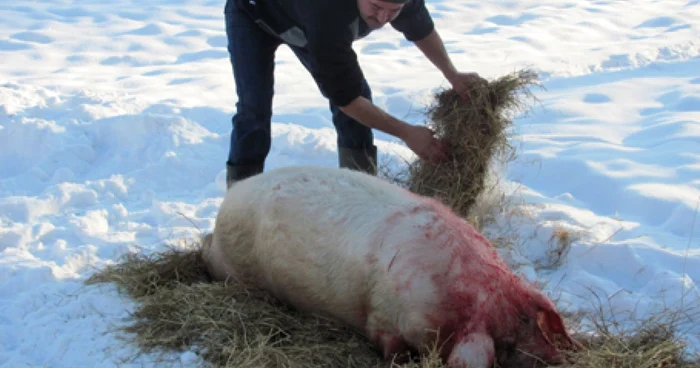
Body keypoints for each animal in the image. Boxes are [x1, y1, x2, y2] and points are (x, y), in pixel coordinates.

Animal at [201, 165, 580, 366]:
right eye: (508, 346)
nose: (560, 360)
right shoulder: (383, 320)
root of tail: (230, 197)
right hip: (230, 265)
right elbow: (390, 348)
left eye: (536, 327)